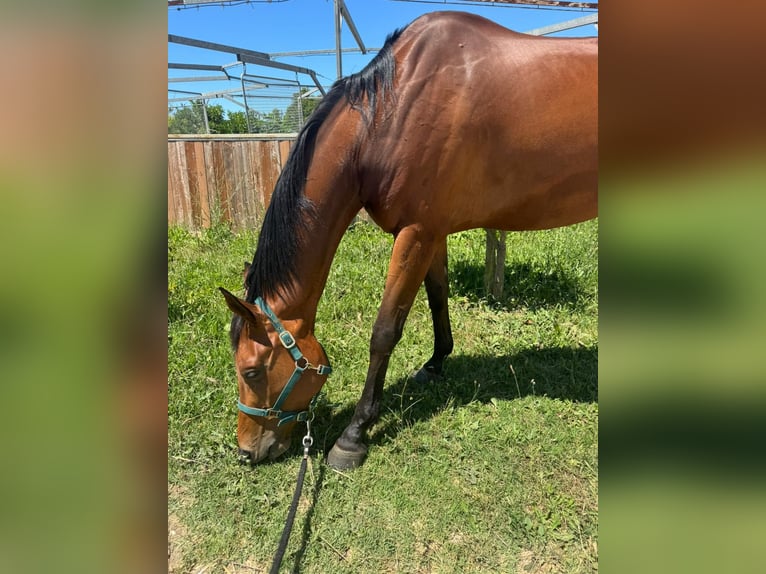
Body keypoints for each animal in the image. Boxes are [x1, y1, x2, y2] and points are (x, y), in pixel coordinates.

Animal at [219, 11, 596, 470]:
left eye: (252, 371)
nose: (247, 451)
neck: (390, 112)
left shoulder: (415, 232)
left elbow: (384, 331)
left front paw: (353, 435)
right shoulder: (432, 231)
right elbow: (438, 298)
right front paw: (435, 363)